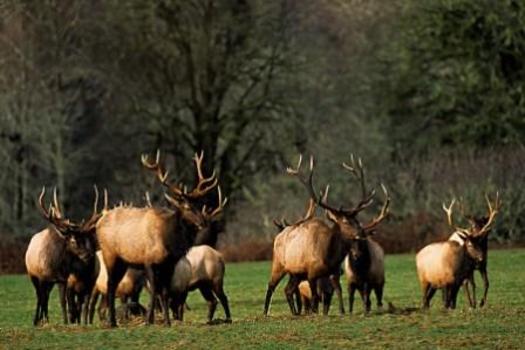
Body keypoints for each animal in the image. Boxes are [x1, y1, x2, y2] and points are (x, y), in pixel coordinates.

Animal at [24, 187, 100, 326]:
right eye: (73, 240)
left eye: (86, 239)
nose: (88, 255)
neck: (59, 264)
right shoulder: (44, 276)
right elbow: (52, 300)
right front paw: (44, 320)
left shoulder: (63, 279)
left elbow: (66, 302)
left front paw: (69, 320)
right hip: (32, 274)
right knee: (40, 297)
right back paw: (37, 320)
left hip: (50, 282)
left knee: (46, 296)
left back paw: (45, 318)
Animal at [96, 151, 225, 328]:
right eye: (186, 207)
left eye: (199, 205)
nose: (203, 222)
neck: (169, 241)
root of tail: (99, 222)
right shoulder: (149, 261)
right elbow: (155, 291)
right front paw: (148, 321)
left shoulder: (169, 264)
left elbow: (164, 292)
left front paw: (167, 322)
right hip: (110, 254)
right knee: (110, 284)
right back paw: (112, 322)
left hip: (123, 261)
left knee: (114, 284)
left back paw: (113, 321)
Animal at [262, 154, 388, 316]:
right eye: (345, 221)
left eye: (357, 220)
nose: (361, 233)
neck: (329, 256)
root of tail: (278, 235)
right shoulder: (311, 273)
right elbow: (315, 297)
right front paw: (316, 313)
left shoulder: (334, 272)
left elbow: (337, 291)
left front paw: (342, 311)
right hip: (279, 264)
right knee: (271, 285)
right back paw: (265, 312)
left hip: (296, 273)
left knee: (288, 290)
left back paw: (295, 313)